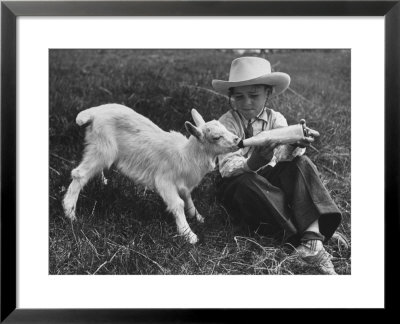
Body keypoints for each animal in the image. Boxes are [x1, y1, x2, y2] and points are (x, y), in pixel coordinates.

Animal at [62, 103, 241, 243]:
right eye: (216, 137)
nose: (238, 140)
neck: (186, 155)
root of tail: (92, 113)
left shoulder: (183, 183)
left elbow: (188, 198)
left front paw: (198, 217)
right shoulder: (164, 180)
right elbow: (178, 203)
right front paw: (188, 234)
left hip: (100, 149)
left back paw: (102, 182)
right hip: (103, 147)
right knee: (79, 174)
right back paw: (70, 214)